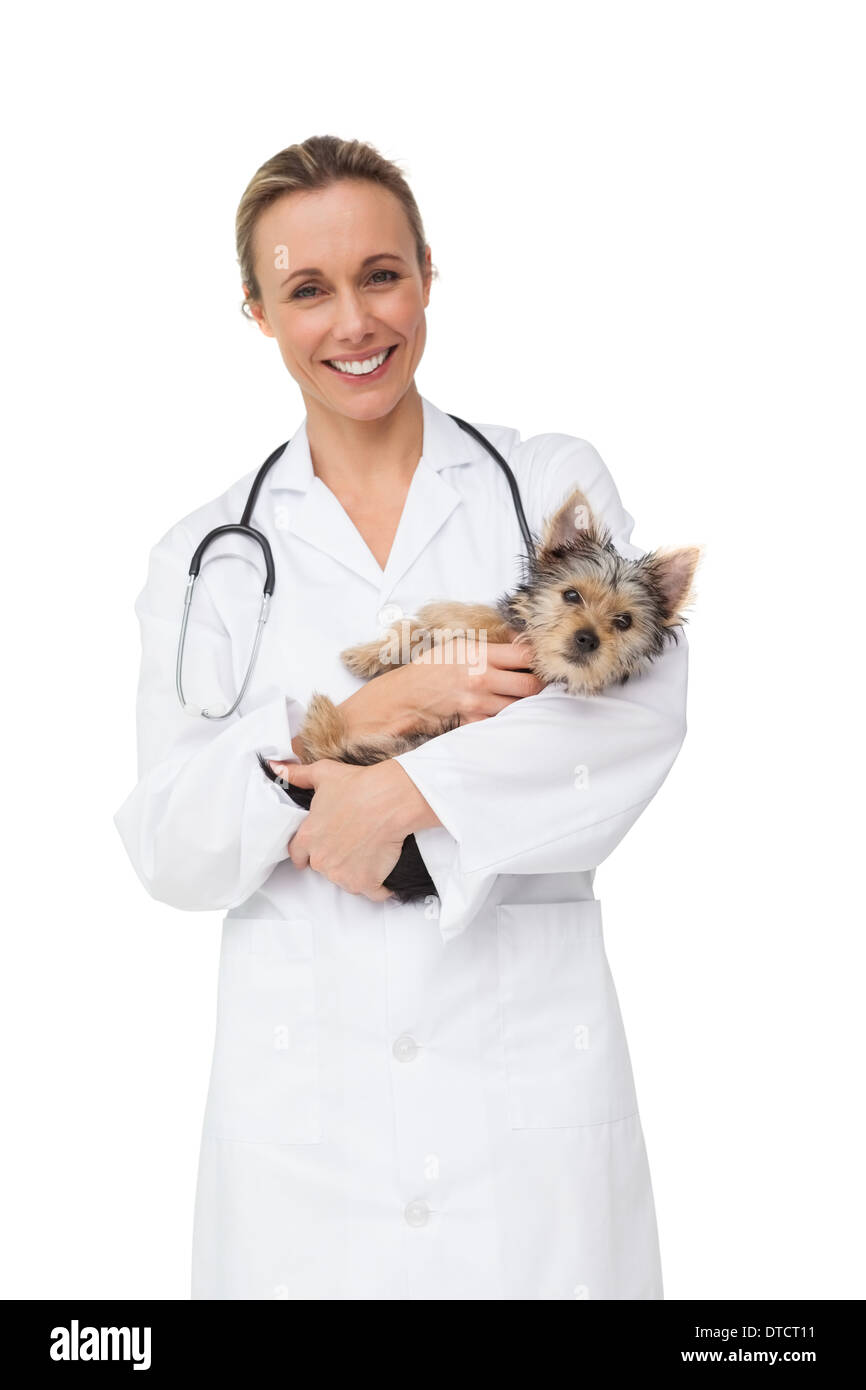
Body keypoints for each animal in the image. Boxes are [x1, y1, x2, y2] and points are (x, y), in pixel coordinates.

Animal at [261, 486, 700, 900]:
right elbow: (442, 626)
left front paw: (441, 614)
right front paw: (375, 652)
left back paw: (322, 715)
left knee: (320, 750)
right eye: (571, 595)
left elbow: (474, 619)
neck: (540, 657)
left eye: (624, 621)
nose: (587, 639)